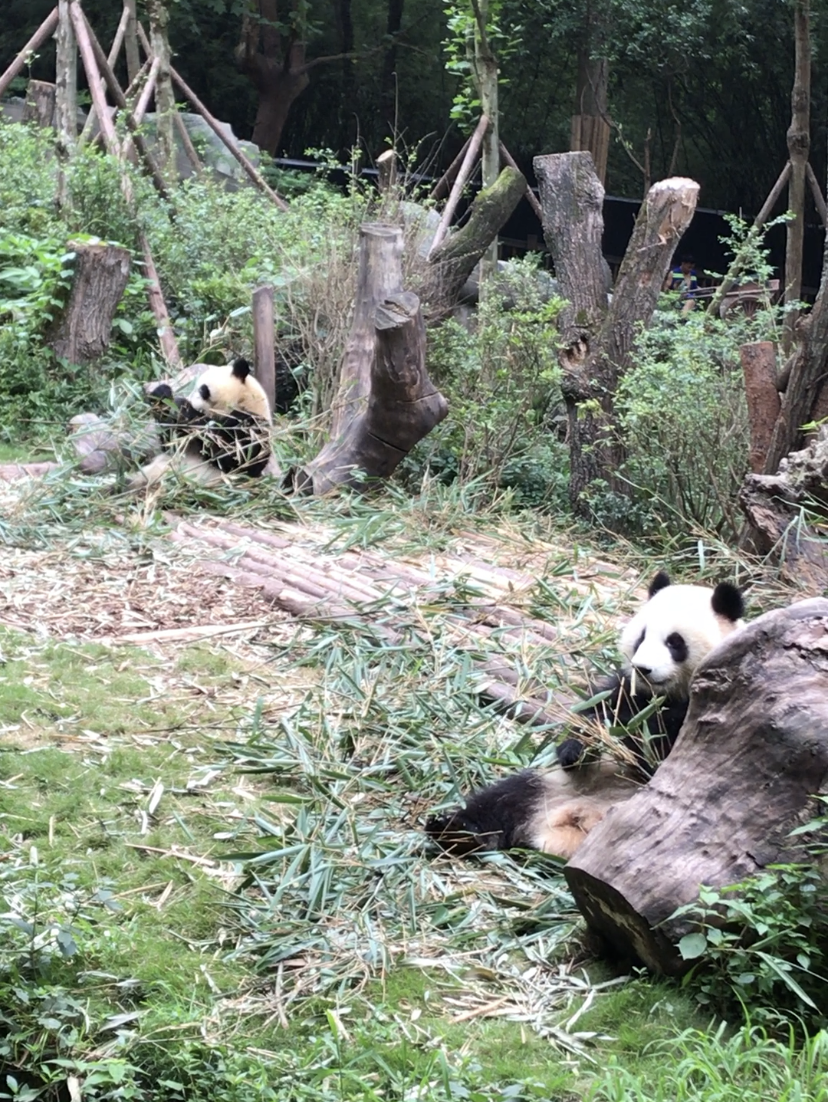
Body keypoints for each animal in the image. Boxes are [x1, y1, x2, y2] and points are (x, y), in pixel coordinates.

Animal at [130, 358, 272, 489]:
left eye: (203, 389)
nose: (191, 400)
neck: (245, 401)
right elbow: (172, 442)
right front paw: (162, 395)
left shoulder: (251, 425)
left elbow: (230, 457)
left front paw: (183, 406)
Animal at [425, 571, 745, 860]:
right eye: (641, 637)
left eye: (675, 642)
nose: (643, 669)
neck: (664, 695)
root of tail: (564, 827)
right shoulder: (625, 691)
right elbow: (594, 714)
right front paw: (581, 747)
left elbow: (660, 750)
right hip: (551, 785)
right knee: (501, 800)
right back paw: (454, 832)